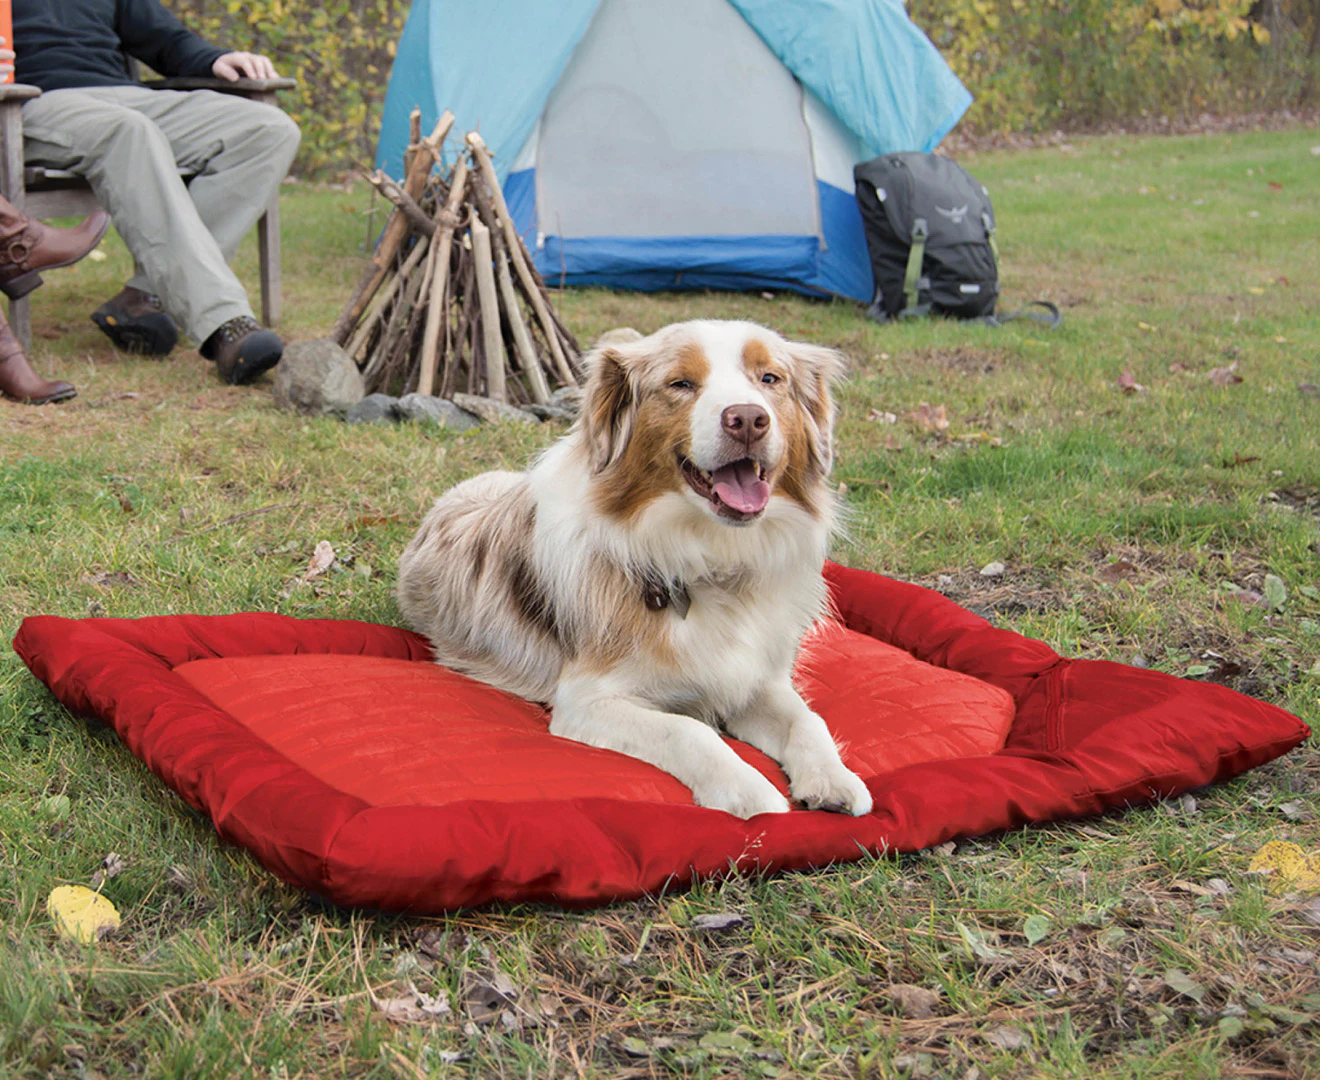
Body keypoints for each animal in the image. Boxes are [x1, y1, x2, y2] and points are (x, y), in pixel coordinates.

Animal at [401, 319, 876, 818]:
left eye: (770, 379)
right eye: (680, 384)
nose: (748, 419)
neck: (711, 558)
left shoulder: (755, 679)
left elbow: (808, 718)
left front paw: (834, 778)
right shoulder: (587, 700)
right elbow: (689, 730)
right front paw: (749, 790)